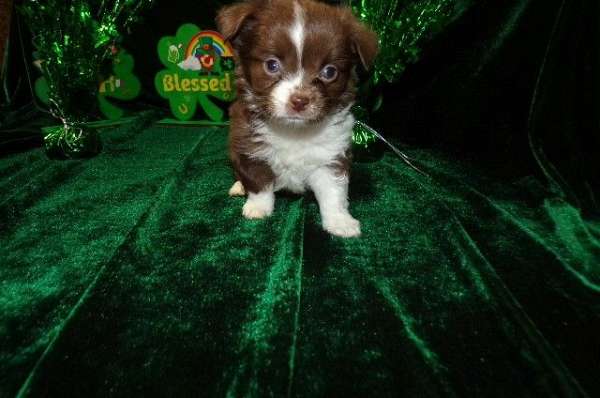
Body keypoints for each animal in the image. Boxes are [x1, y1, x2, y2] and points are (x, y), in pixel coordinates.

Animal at [216, 0, 376, 236]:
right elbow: (259, 181)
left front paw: (340, 221)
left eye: (329, 72)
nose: (299, 100)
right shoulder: (249, 145)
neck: (293, 131)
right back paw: (238, 186)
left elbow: (334, 193)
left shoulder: (332, 156)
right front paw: (258, 207)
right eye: (271, 65)